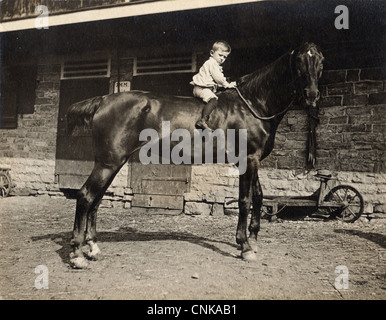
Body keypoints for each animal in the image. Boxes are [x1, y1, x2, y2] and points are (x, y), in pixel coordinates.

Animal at [67, 42, 326, 268]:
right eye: (300, 60)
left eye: (321, 60)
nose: (312, 95)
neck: (252, 105)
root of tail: (104, 100)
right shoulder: (248, 160)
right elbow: (245, 200)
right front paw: (244, 246)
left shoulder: (252, 161)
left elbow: (259, 196)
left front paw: (252, 240)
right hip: (108, 163)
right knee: (86, 196)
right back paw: (77, 253)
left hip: (113, 163)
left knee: (96, 199)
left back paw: (93, 247)